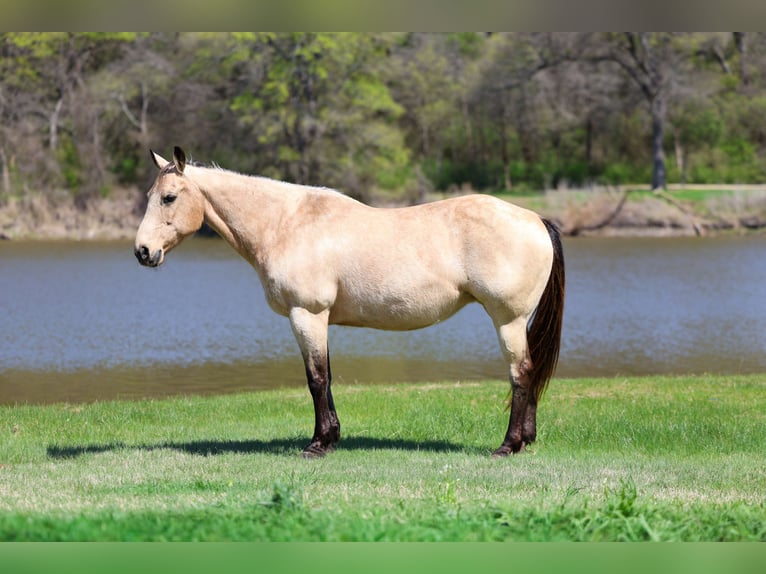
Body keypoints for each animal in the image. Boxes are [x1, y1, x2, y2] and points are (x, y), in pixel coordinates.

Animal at [134, 147, 565, 458]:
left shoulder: (306, 314)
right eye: (151, 196)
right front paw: (332, 437)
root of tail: (535, 219)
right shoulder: (318, 319)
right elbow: (326, 377)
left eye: (169, 198)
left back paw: (508, 445)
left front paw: (317, 445)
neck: (285, 224)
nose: (142, 252)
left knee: (521, 373)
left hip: (508, 319)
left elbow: (316, 379)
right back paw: (526, 440)